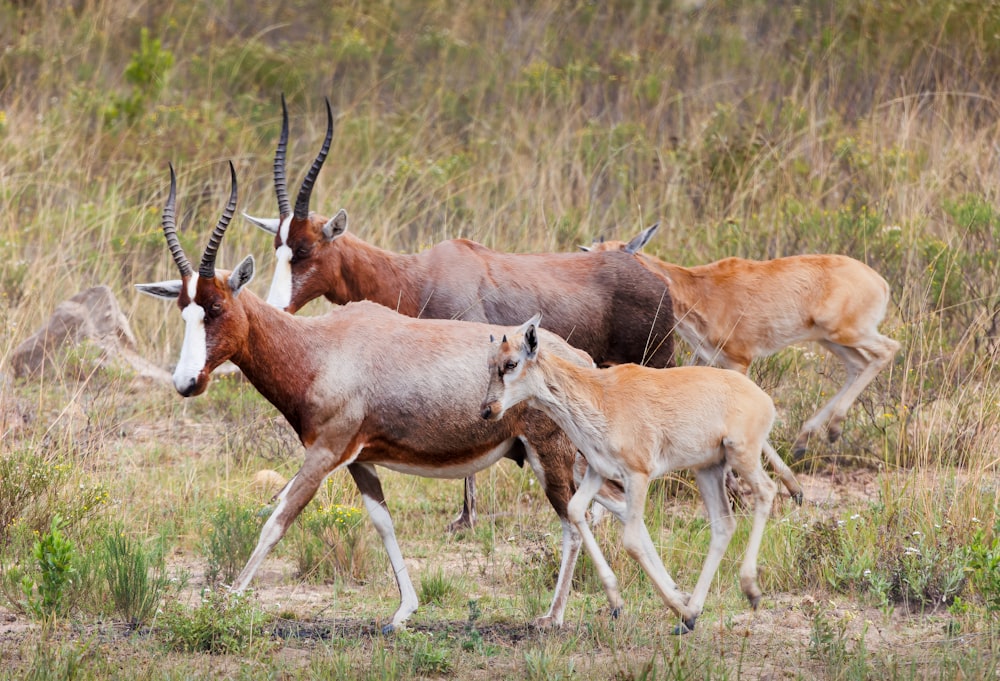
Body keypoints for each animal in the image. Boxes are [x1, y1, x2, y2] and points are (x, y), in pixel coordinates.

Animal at [137, 162, 636, 628]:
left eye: (217, 306)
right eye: (184, 309)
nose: (187, 382)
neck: (321, 346)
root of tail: (578, 359)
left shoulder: (325, 454)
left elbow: (277, 520)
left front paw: (226, 603)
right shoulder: (359, 460)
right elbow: (383, 522)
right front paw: (402, 612)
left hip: (549, 455)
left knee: (574, 520)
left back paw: (560, 615)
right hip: (555, 457)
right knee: (604, 505)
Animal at [244, 95, 680, 532]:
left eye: (305, 250)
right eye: (278, 247)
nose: (276, 306)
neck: (420, 275)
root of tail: (657, 278)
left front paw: (466, 518)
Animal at [480, 316, 784, 636]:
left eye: (511, 363)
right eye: (490, 363)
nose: (487, 410)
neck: (601, 394)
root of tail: (762, 398)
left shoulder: (638, 476)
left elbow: (632, 540)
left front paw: (674, 606)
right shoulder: (598, 472)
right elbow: (576, 511)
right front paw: (618, 602)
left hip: (742, 457)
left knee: (766, 491)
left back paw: (748, 591)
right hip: (707, 470)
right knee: (724, 525)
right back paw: (693, 613)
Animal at [584, 223, 904, 456]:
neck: (698, 288)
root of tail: (880, 282)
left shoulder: (740, 362)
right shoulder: (705, 359)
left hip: (845, 333)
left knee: (888, 350)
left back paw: (833, 429)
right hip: (832, 340)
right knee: (857, 365)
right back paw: (805, 440)